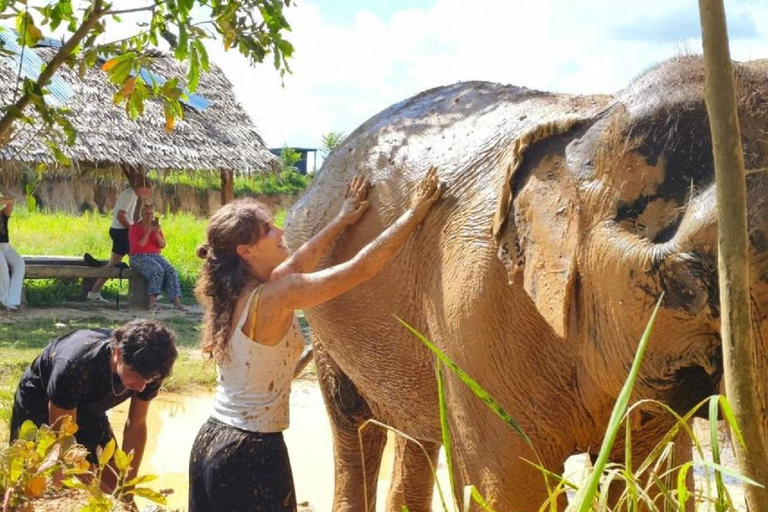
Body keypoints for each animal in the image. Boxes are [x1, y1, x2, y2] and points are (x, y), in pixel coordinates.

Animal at [284, 54, 768, 510]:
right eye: (692, 278)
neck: (594, 120)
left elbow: (651, 475)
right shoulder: (474, 307)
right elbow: (509, 484)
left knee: (416, 429)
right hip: (324, 319)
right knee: (353, 421)